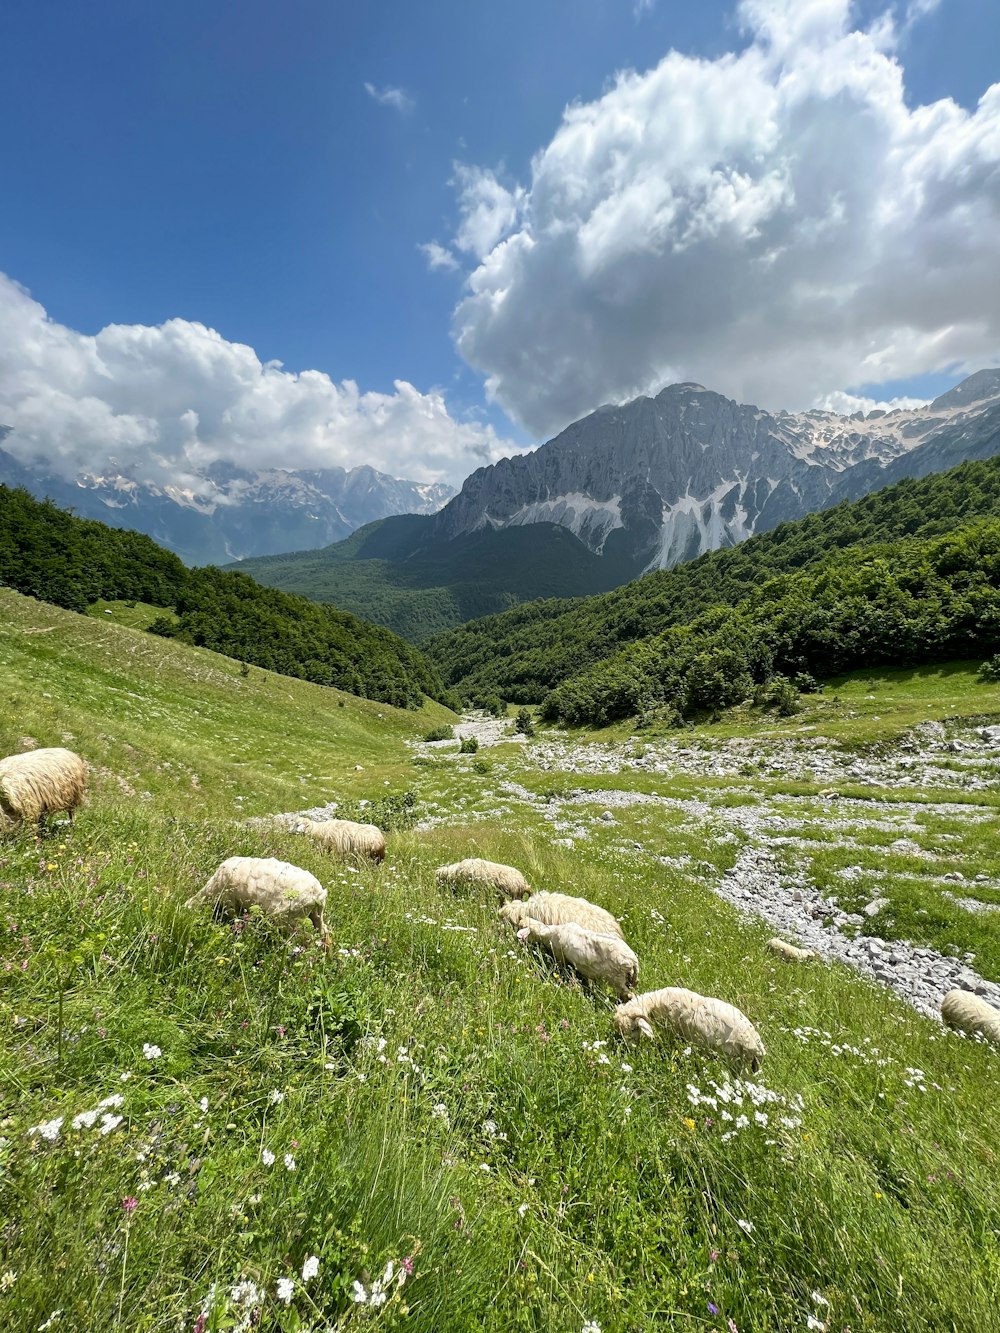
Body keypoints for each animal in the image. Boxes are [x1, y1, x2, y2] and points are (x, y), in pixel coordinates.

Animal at [186, 858, 330, 943]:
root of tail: (318, 893)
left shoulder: (230, 903)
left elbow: (235, 919)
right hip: (315, 915)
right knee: (325, 934)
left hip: (291, 919)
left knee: (306, 939)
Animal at [610, 991, 768, 1071]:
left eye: (633, 1028)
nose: (627, 1049)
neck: (657, 1002)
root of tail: (757, 1045)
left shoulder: (674, 1033)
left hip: (734, 1060)